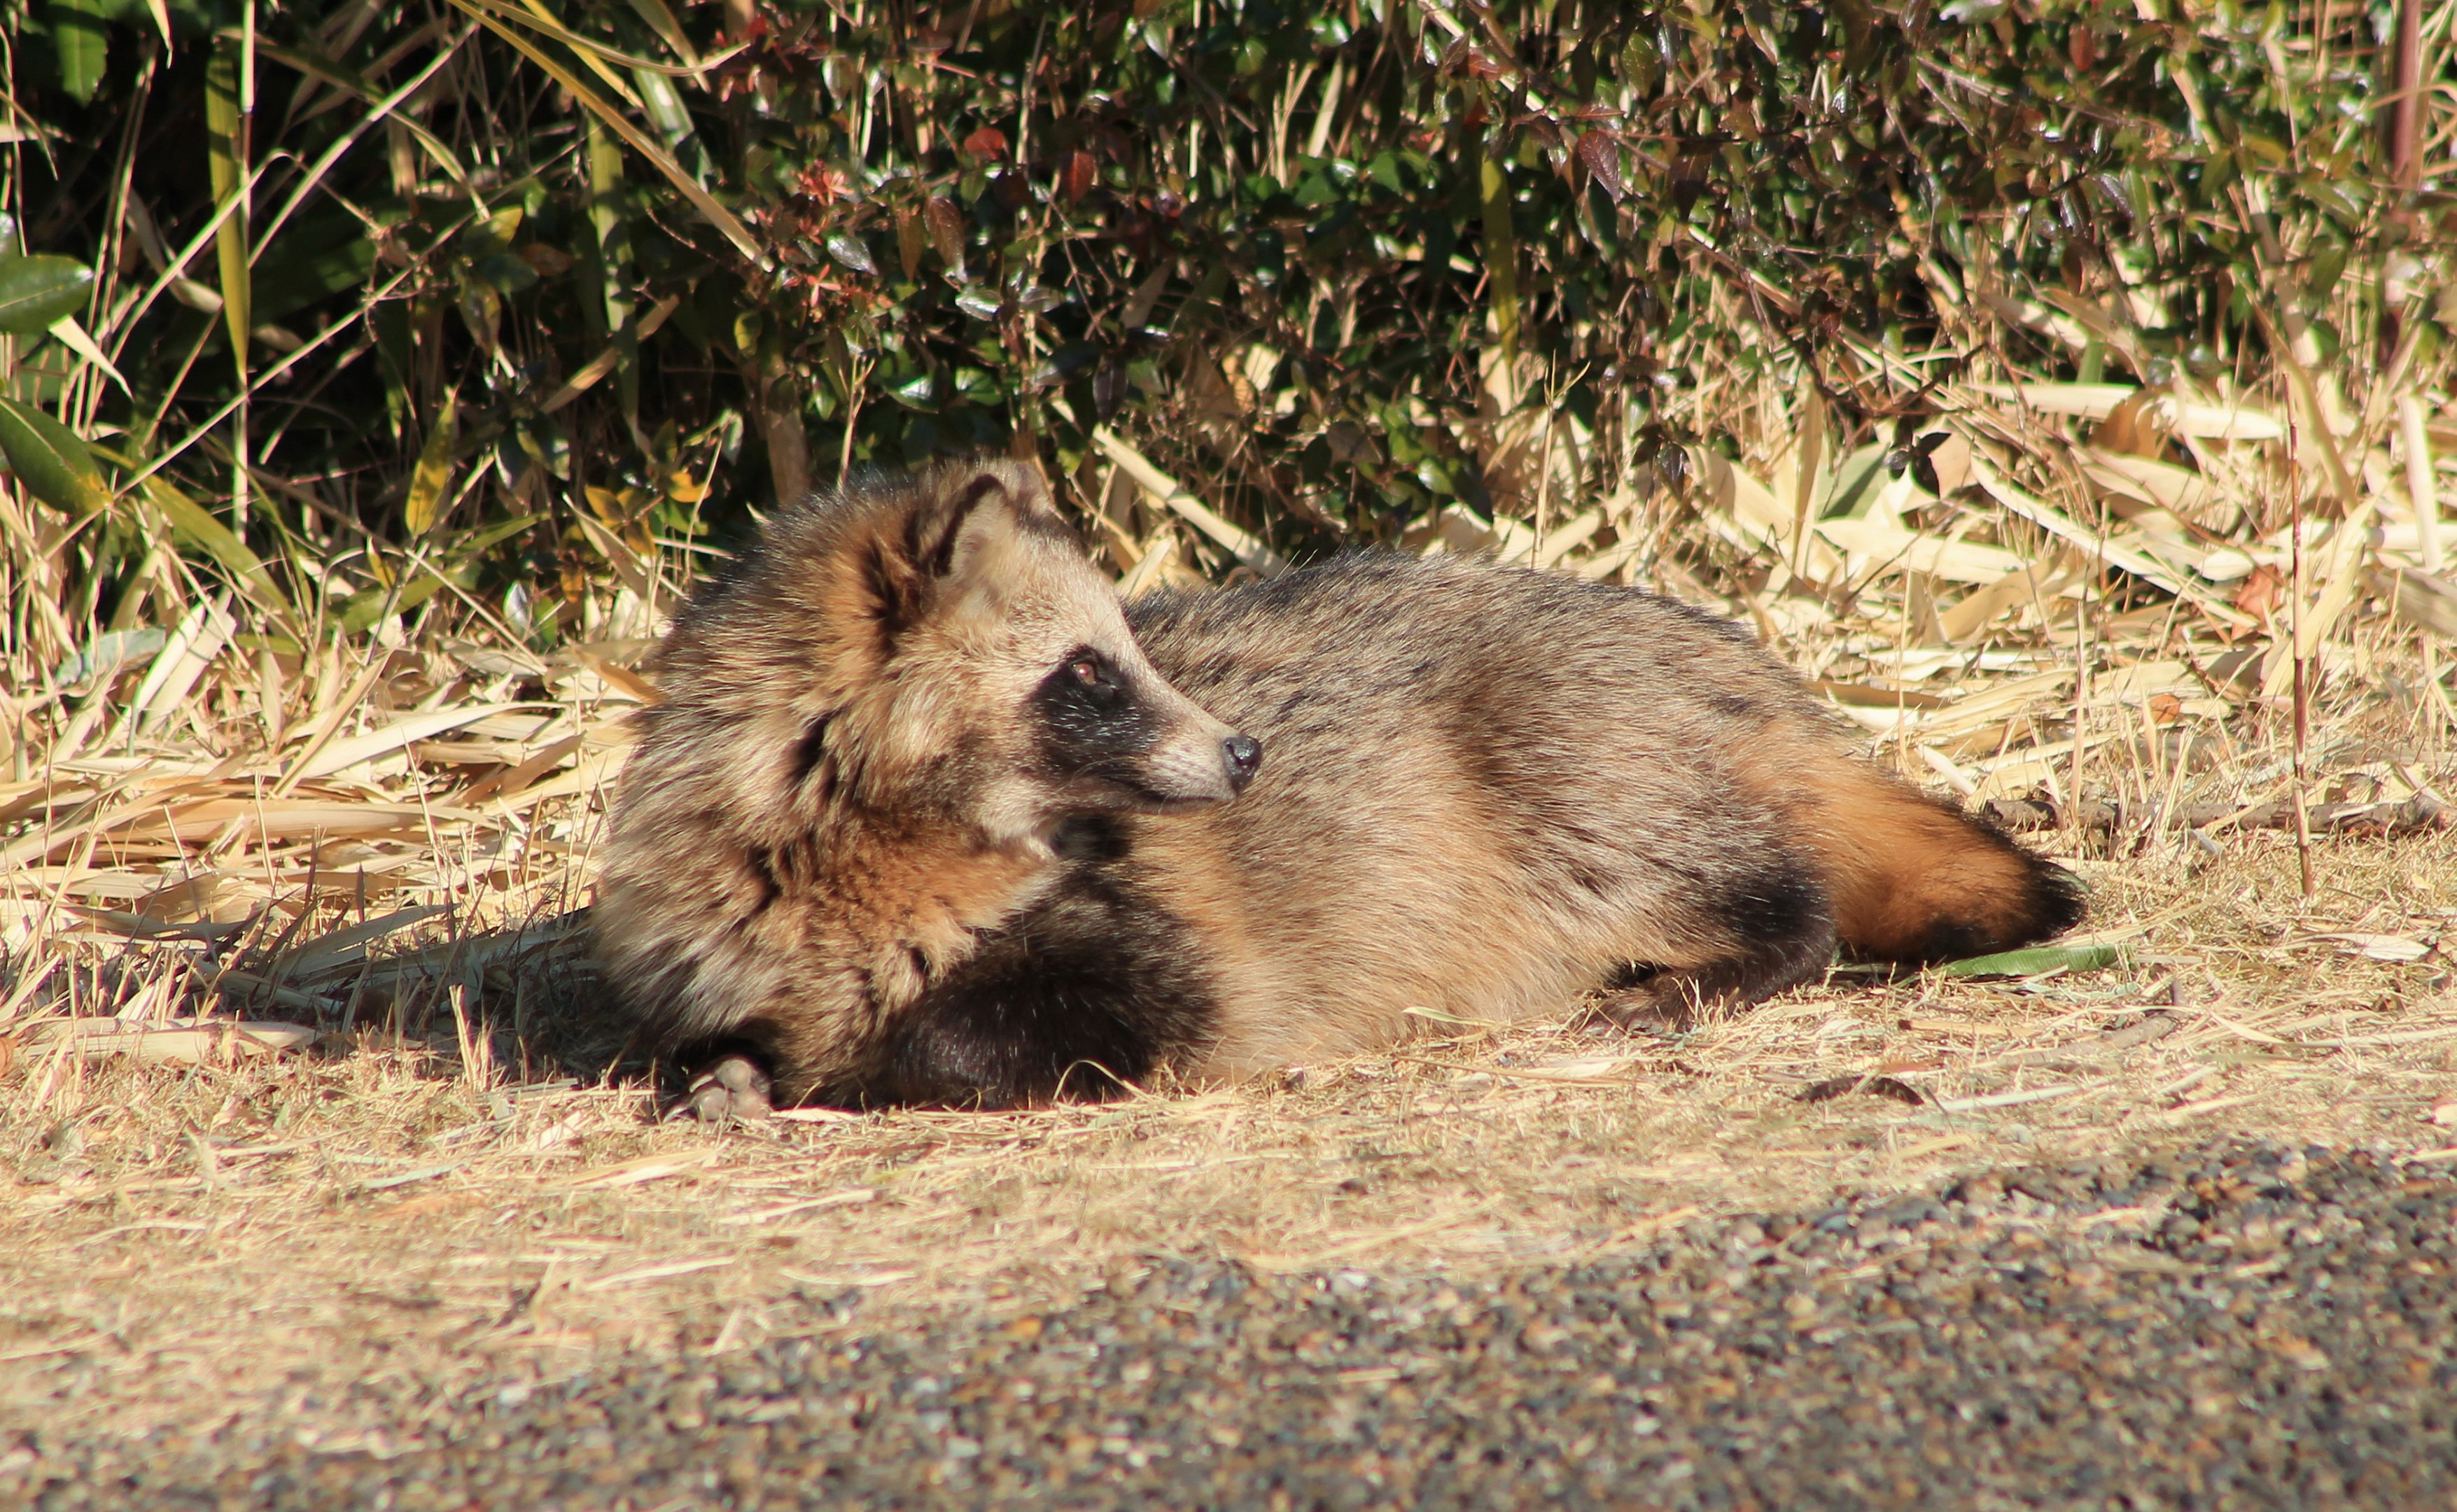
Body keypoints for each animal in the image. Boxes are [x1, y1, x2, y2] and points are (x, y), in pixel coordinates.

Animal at [595, 458, 2082, 1115]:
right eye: (1089, 672)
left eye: (1127, 646)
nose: (1248, 755)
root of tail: (1748, 672)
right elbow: (701, 1038)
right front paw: (735, 1067)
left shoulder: (1174, 966)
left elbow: (961, 1046)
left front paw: (839, 1073)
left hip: (1585, 787)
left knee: (1788, 899)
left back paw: (1718, 964)